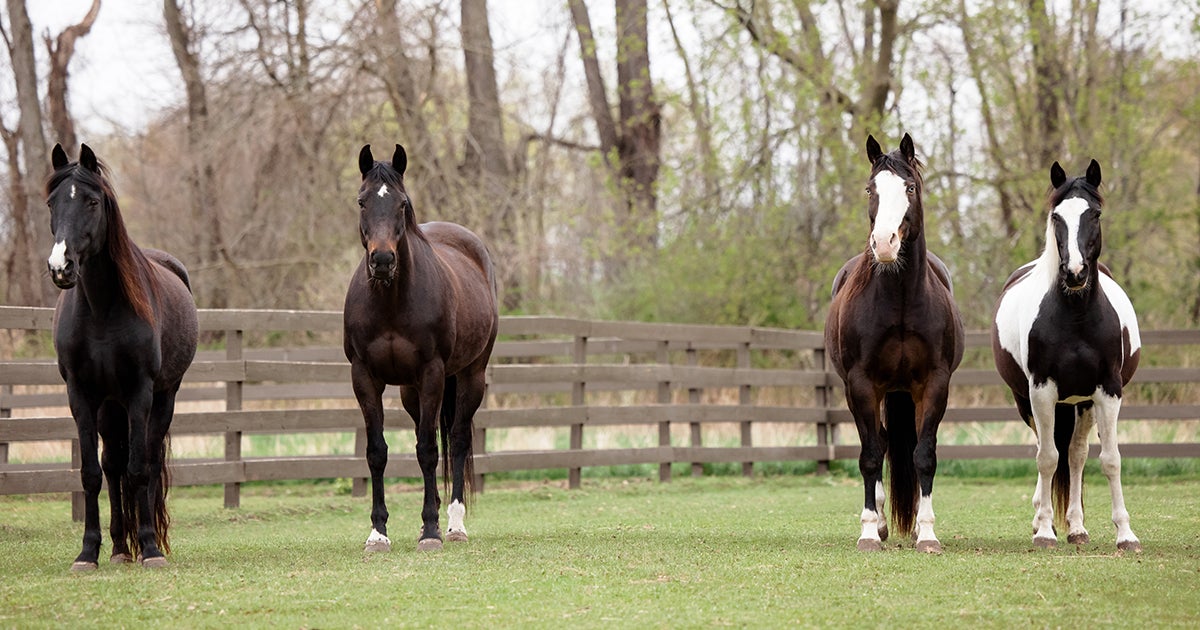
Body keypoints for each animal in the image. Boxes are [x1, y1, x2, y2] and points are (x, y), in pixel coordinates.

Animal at [45, 143, 198, 570]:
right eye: (51, 203)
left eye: (93, 201)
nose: (61, 267)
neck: (101, 308)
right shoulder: (81, 395)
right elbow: (91, 473)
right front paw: (87, 552)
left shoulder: (139, 392)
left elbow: (139, 470)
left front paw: (149, 548)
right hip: (108, 407)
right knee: (112, 465)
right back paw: (117, 547)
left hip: (162, 398)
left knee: (145, 460)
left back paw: (142, 544)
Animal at [343, 144, 498, 552]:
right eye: (362, 201)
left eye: (401, 204)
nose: (383, 260)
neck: (391, 302)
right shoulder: (364, 377)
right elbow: (377, 451)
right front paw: (378, 532)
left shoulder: (432, 373)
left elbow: (430, 450)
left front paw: (430, 530)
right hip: (411, 392)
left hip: (470, 376)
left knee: (456, 441)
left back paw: (454, 525)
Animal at [824, 133, 965, 553]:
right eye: (871, 189)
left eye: (910, 187)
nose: (884, 244)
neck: (900, 300)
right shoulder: (861, 385)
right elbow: (871, 455)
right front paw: (870, 531)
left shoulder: (935, 384)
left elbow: (925, 455)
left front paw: (928, 533)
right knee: (882, 443)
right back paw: (884, 522)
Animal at [991, 159, 1142, 552]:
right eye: (1056, 216)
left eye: (1095, 214)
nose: (1075, 273)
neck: (1075, 317)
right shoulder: (1042, 390)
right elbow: (1047, 459)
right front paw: (1044, 530)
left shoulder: (1108, 391)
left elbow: (1110, 460)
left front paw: (1125, 534)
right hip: (1029, 401)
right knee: (1047, 450)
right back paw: (1042, 519)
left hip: (1082, 403)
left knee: (1076, 456)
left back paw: (1076, 527)